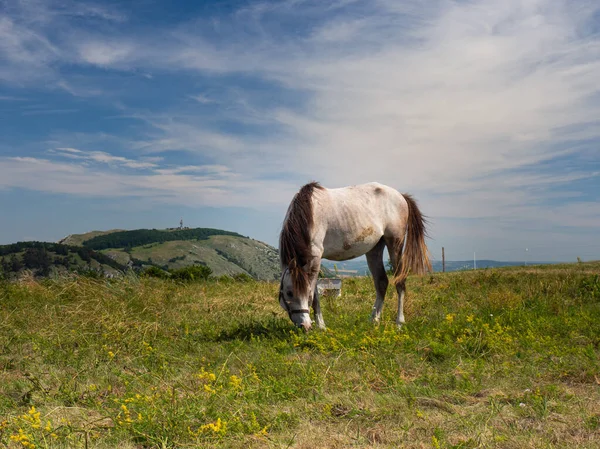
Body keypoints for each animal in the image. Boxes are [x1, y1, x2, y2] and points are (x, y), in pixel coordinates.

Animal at [276, 180, 432, 330]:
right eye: (289, 293)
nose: (305, 326)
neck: (309, 214)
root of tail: (401, 196)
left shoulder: (315, 257)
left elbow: (313, 296)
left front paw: (321, 326)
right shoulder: (312, 260)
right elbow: (315, 294)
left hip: (395, 244)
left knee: (400, 282)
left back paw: (399, 323)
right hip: (374, 249)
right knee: (381, 282)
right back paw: (373, 321)